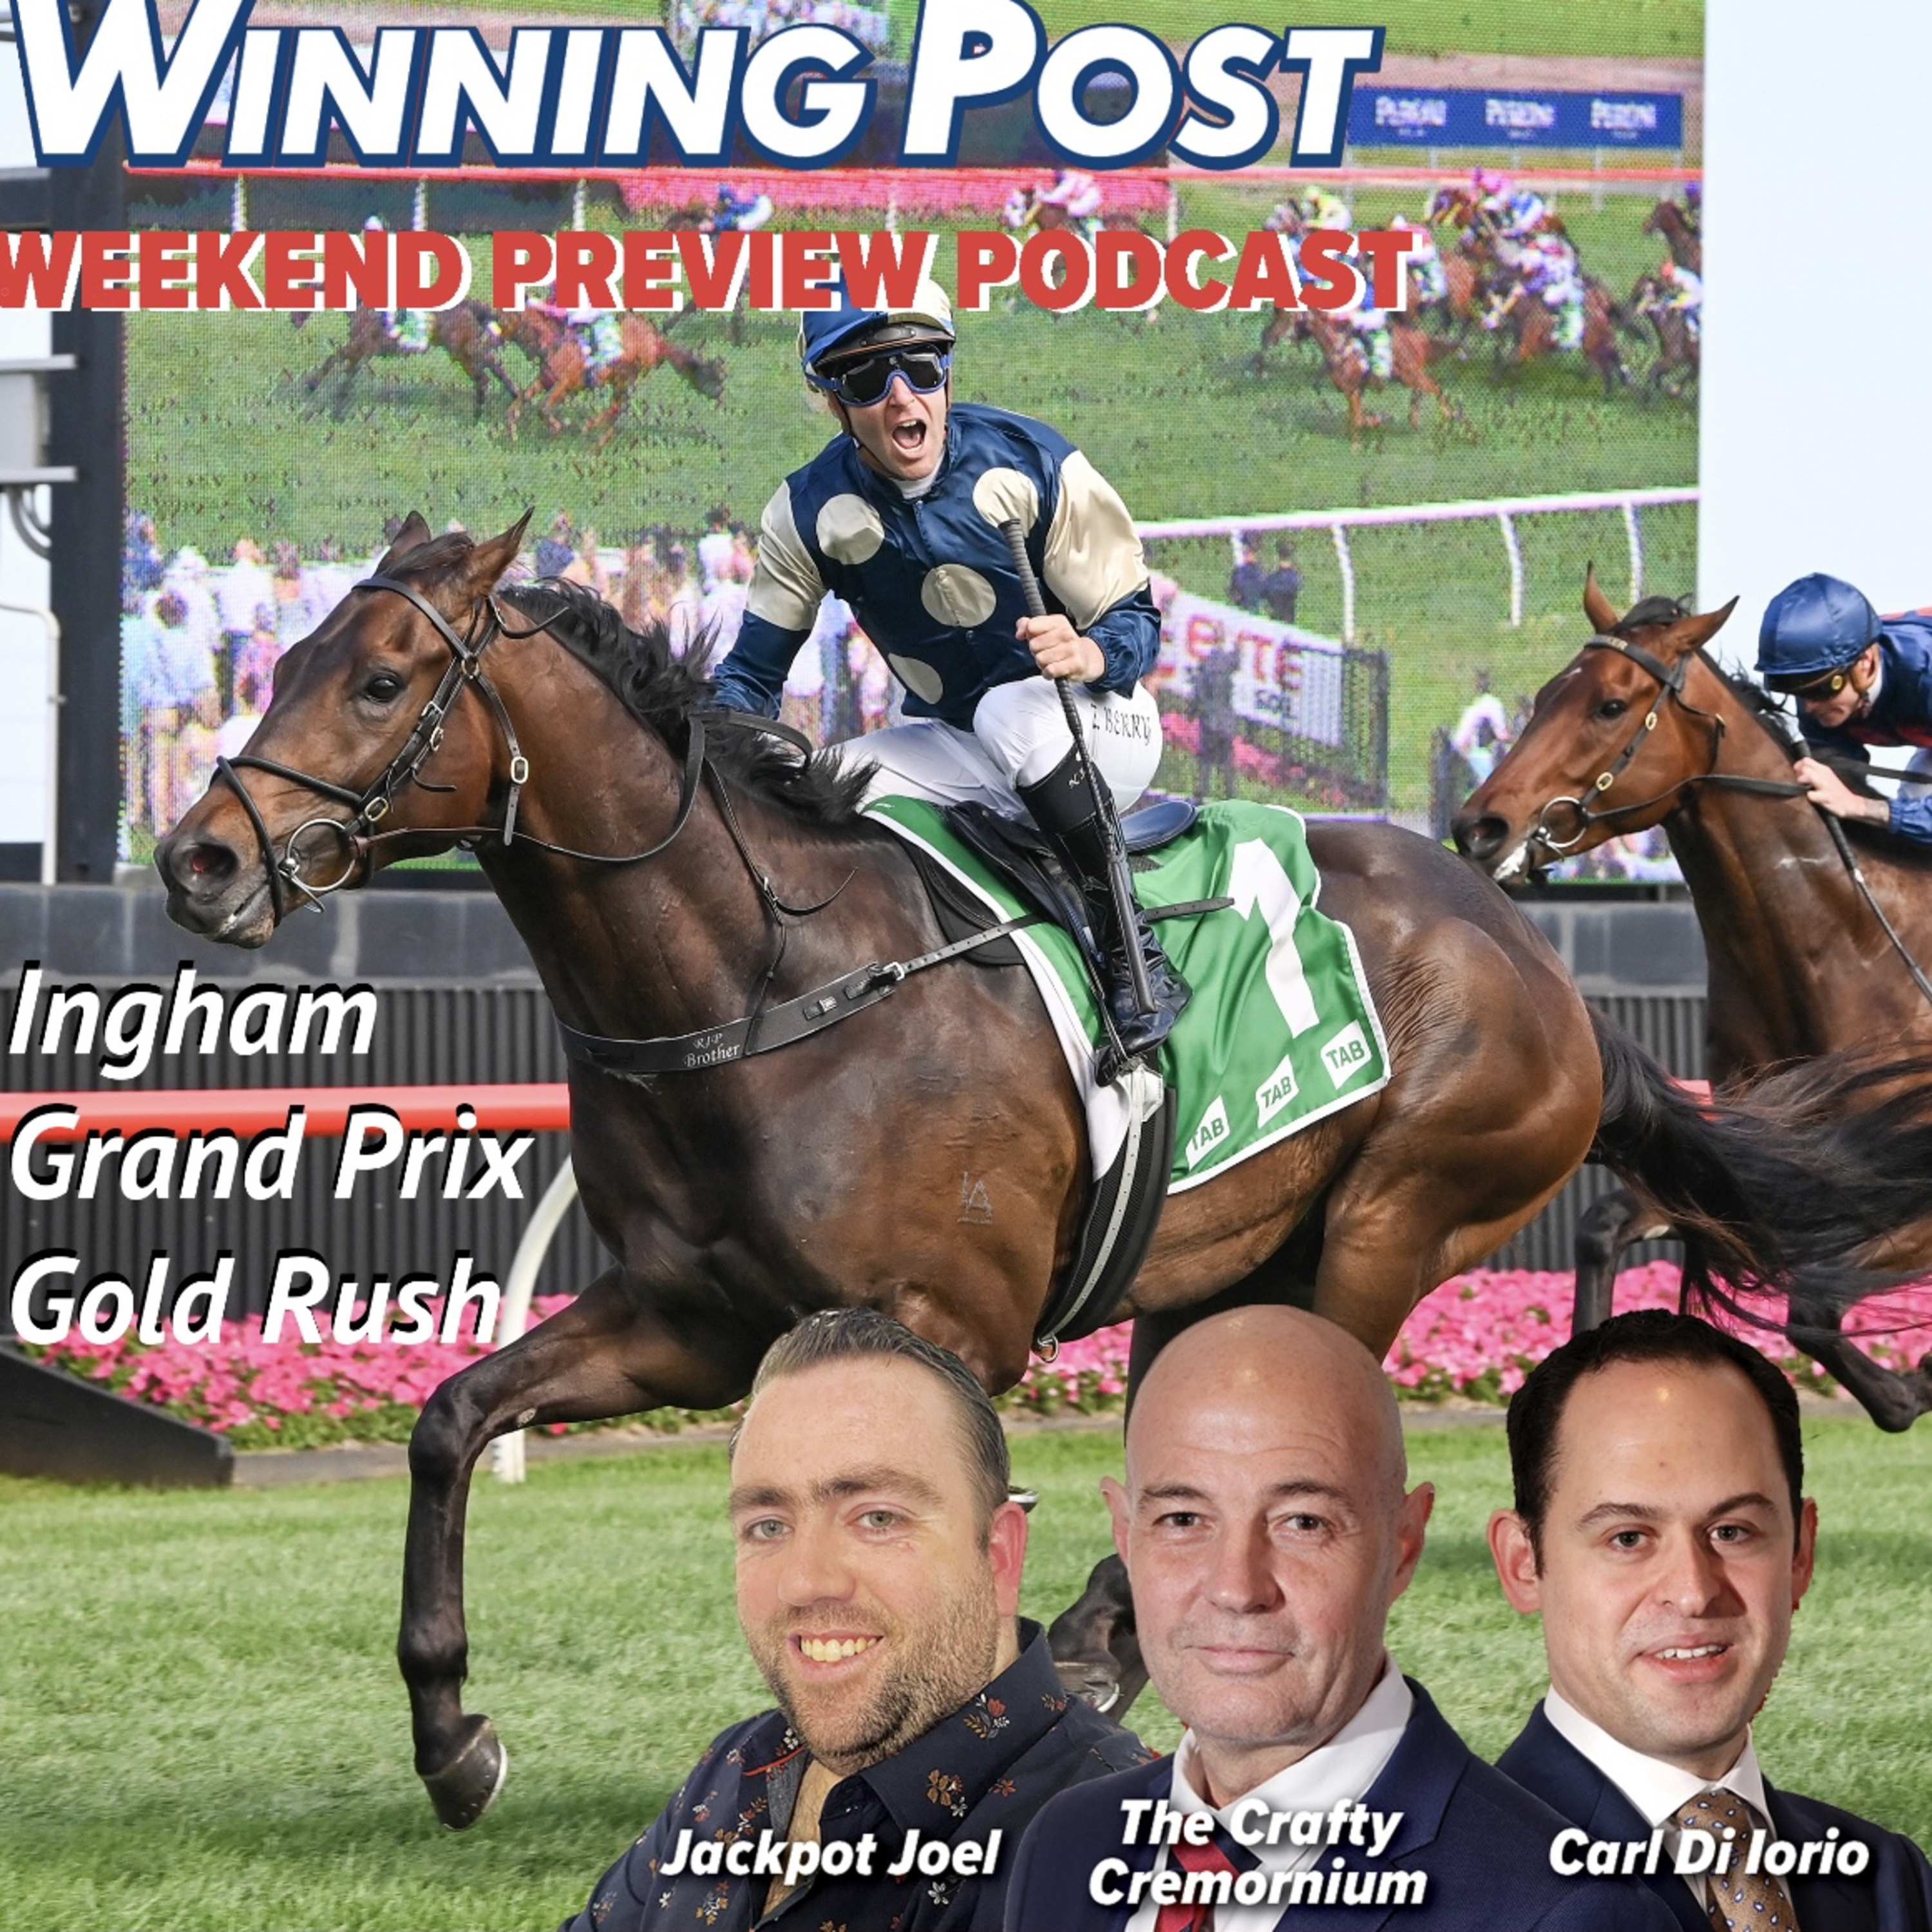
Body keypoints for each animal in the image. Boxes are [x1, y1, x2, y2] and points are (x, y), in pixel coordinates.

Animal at [295, 302, 518, 419]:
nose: (294, 320)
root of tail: (469, 306)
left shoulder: (360, 346)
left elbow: (336, 358)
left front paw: (314, 385)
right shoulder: (361, 350)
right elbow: (346, 368)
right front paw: (336, 402)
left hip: (463, 352)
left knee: (485, 375)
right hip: (466, 352)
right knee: (490, 371)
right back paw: (502, 401)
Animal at [498, 310, 725, 445]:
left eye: (505, 318)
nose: (494, 336)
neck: (555, 341)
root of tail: (656, 338)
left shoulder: (566, 383)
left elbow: (543, 407)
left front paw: (558, 425)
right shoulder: (546, 380)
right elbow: (522, 398)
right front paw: (511, 428)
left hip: (627, 373)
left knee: (619, 406)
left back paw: (592, 430)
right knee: (617, 407)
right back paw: (596, 432)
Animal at [1451, 574, 1932, 1431]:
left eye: (1611, 705)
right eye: (1546, 693)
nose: (1479, 826)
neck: (1846, 956)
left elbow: (1814, 1310)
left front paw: (1911, 1387)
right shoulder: (1741, 1164)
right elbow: (1603, 1228)